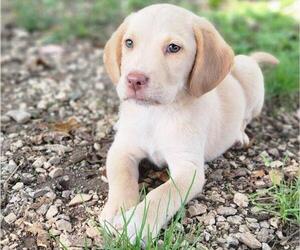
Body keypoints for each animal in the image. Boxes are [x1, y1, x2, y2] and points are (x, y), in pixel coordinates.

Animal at [99, 3, 278, 242]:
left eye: (174, 48)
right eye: (129, 43)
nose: (134, 79)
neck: (156, 114)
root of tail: (247, 58)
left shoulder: (188, 169)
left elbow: (162, 194)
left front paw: (136, 223)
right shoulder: (122, 150)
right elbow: (121, 179)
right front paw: (116, 211)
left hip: (252, 82)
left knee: (247, 117)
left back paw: (240, 136)